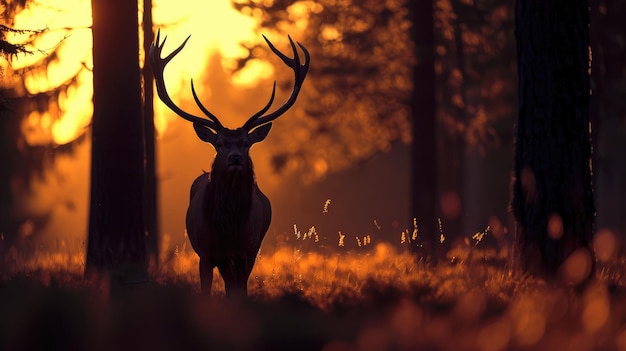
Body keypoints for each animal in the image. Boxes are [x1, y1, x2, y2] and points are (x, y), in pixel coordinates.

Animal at [149, 31, 310, 298]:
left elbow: (239, 291)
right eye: (220, 143)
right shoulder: (205, 253)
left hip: (253, 248)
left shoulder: (245, 250)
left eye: (246, 143)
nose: (235, 158)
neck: (227, 228)